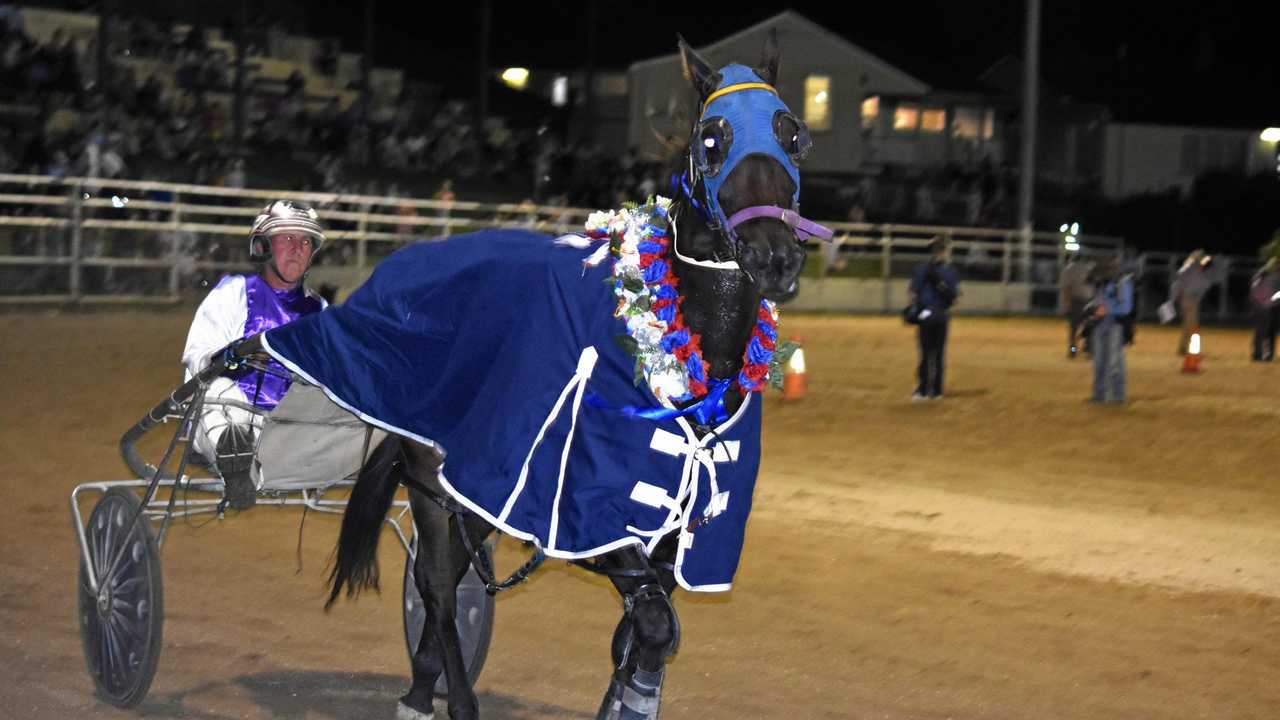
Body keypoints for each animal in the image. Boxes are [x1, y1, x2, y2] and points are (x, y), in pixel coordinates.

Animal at [258, 33, 834, 717]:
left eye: (793, 134)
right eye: (713, 137)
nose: (775, 256)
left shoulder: (674, 542)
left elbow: (642, 637)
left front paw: (635, 696)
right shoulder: (598, 520)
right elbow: (654, 625)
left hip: (471, 485)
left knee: (451, 575)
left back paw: (422, 684)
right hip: (429, 476)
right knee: (437, 583)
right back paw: (450, 697)